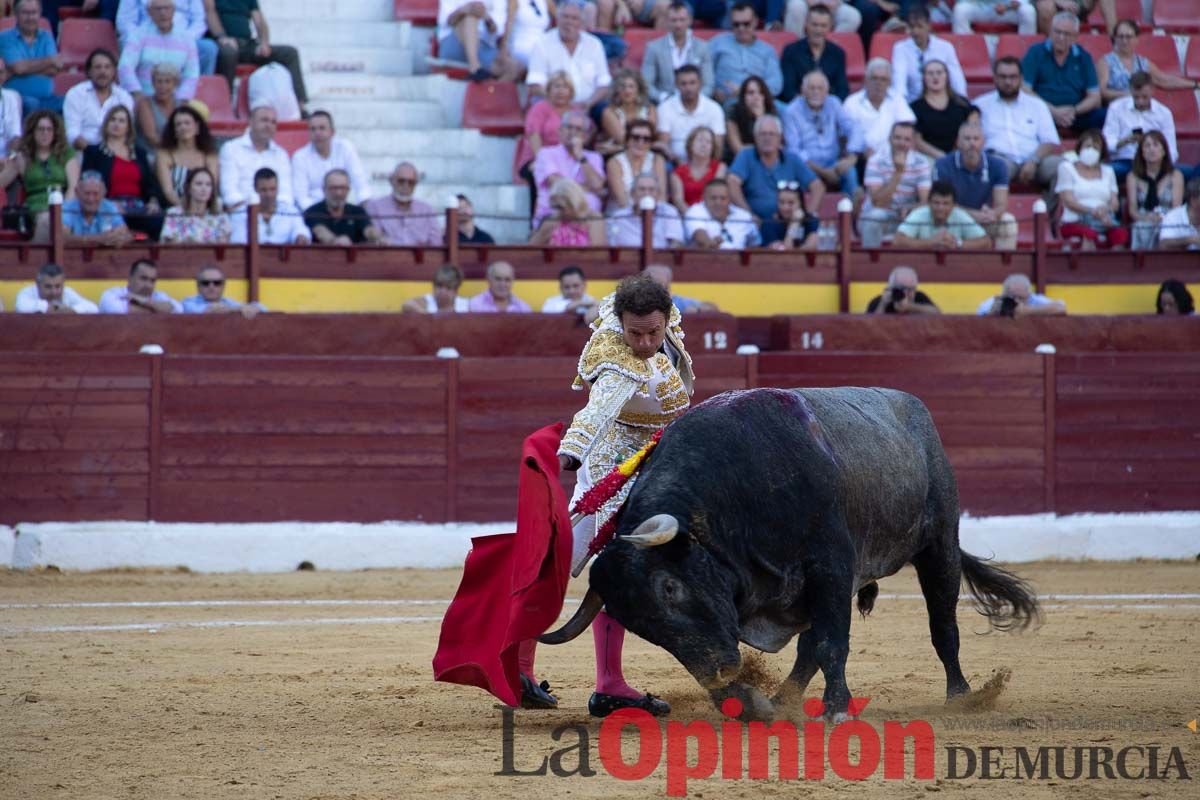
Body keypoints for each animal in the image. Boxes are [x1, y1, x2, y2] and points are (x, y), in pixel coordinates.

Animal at [544, 383, 1041, 724]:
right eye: (639, 626)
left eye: (669, 587)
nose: (720, 673)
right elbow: (803, 647)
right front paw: (750, 703)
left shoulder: (832, 567)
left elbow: (832, 642)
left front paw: (837, 709)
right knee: (806, 651)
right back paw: (783, 700)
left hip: (938, 545)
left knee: (943, 626)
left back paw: (962, 696)